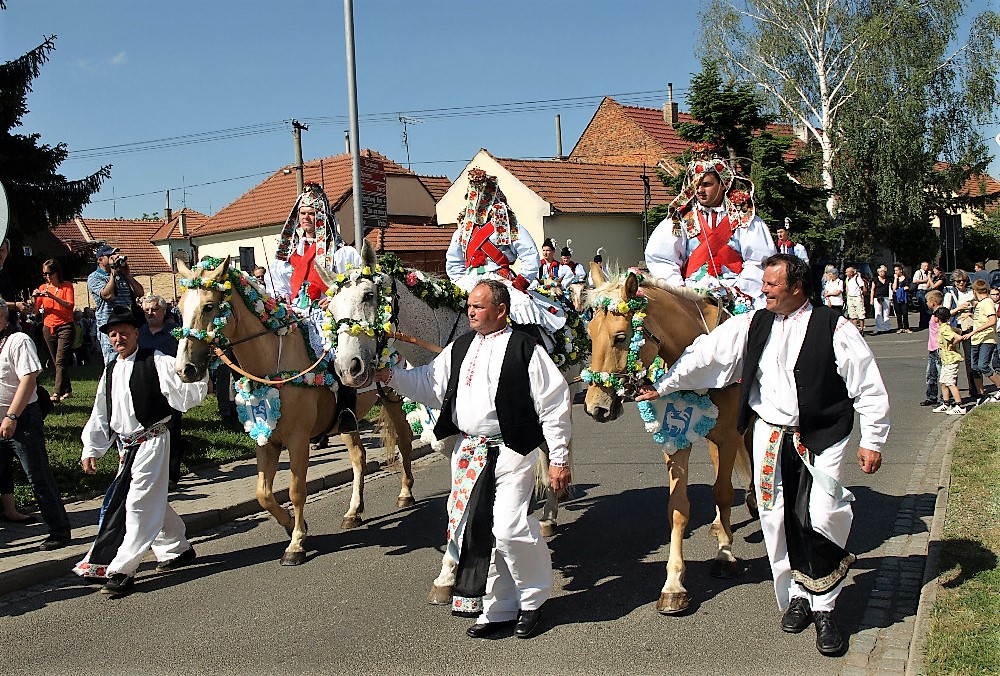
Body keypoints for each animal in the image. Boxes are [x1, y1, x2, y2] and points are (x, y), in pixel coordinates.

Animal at [176, 256, 414, 564]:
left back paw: (405, 493)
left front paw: (296, 544)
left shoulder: (298, 440)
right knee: (358, 458)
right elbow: (263, 494)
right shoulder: (266, 439)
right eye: (180, 307)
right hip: (346, 421)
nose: (184, 369)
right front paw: (291, 525)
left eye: (208, 306)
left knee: (405, 442)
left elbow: (296, 490)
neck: (273, 365)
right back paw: (353, 512)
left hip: (393, 398)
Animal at [584, 266, 752, 616]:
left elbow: (725, 492)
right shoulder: (678, 441)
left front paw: (725, 555)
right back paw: (719, 524)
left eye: (621, 337)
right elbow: (678, 508)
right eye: (590, 334)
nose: (596, 408)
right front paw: (674, 585)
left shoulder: (730, 436)